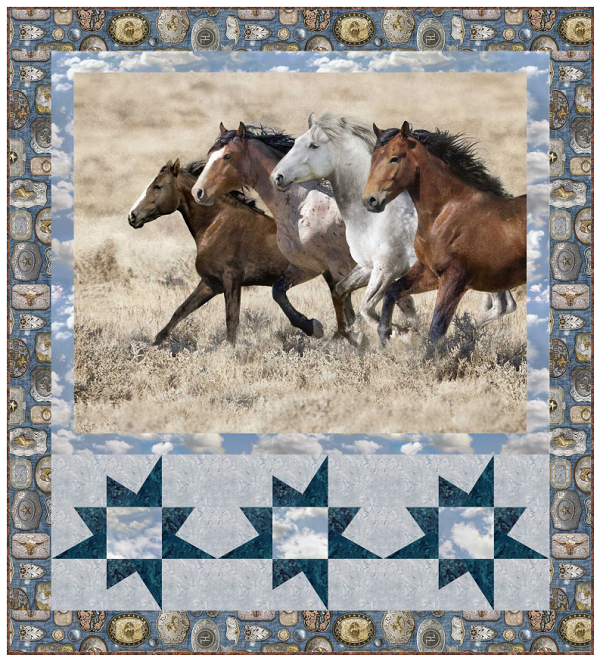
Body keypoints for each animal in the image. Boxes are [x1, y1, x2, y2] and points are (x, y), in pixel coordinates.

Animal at [128, 158, 292, 345]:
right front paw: (155, 344)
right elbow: (180, 311)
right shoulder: (211, 283)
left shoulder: (231, 279)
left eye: (158, 186)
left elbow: (232, 319)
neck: (217, 223)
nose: (132, 216)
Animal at [191, 123, 358, 342]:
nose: (198, 192)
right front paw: (312, 327)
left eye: (228, 156)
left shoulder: (338, 267)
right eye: (210, 155)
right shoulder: (308, 266)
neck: (303, 205)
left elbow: (345, 306)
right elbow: (278, 292)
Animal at [271, 113, 419, 341]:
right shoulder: (367, 268)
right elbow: (342, 293)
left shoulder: (387, 269)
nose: (277, 177)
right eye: (295, 142)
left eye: (313, 145)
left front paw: (399, 334)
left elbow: (368, 309)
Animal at [363, 121, 526, 349]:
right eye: (373, 158)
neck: (447, 212)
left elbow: (436, 330)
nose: (370, 200)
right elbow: (392, 292)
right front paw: (388, 334)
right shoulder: (430, 271)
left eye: (394, 158)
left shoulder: (454, 279)